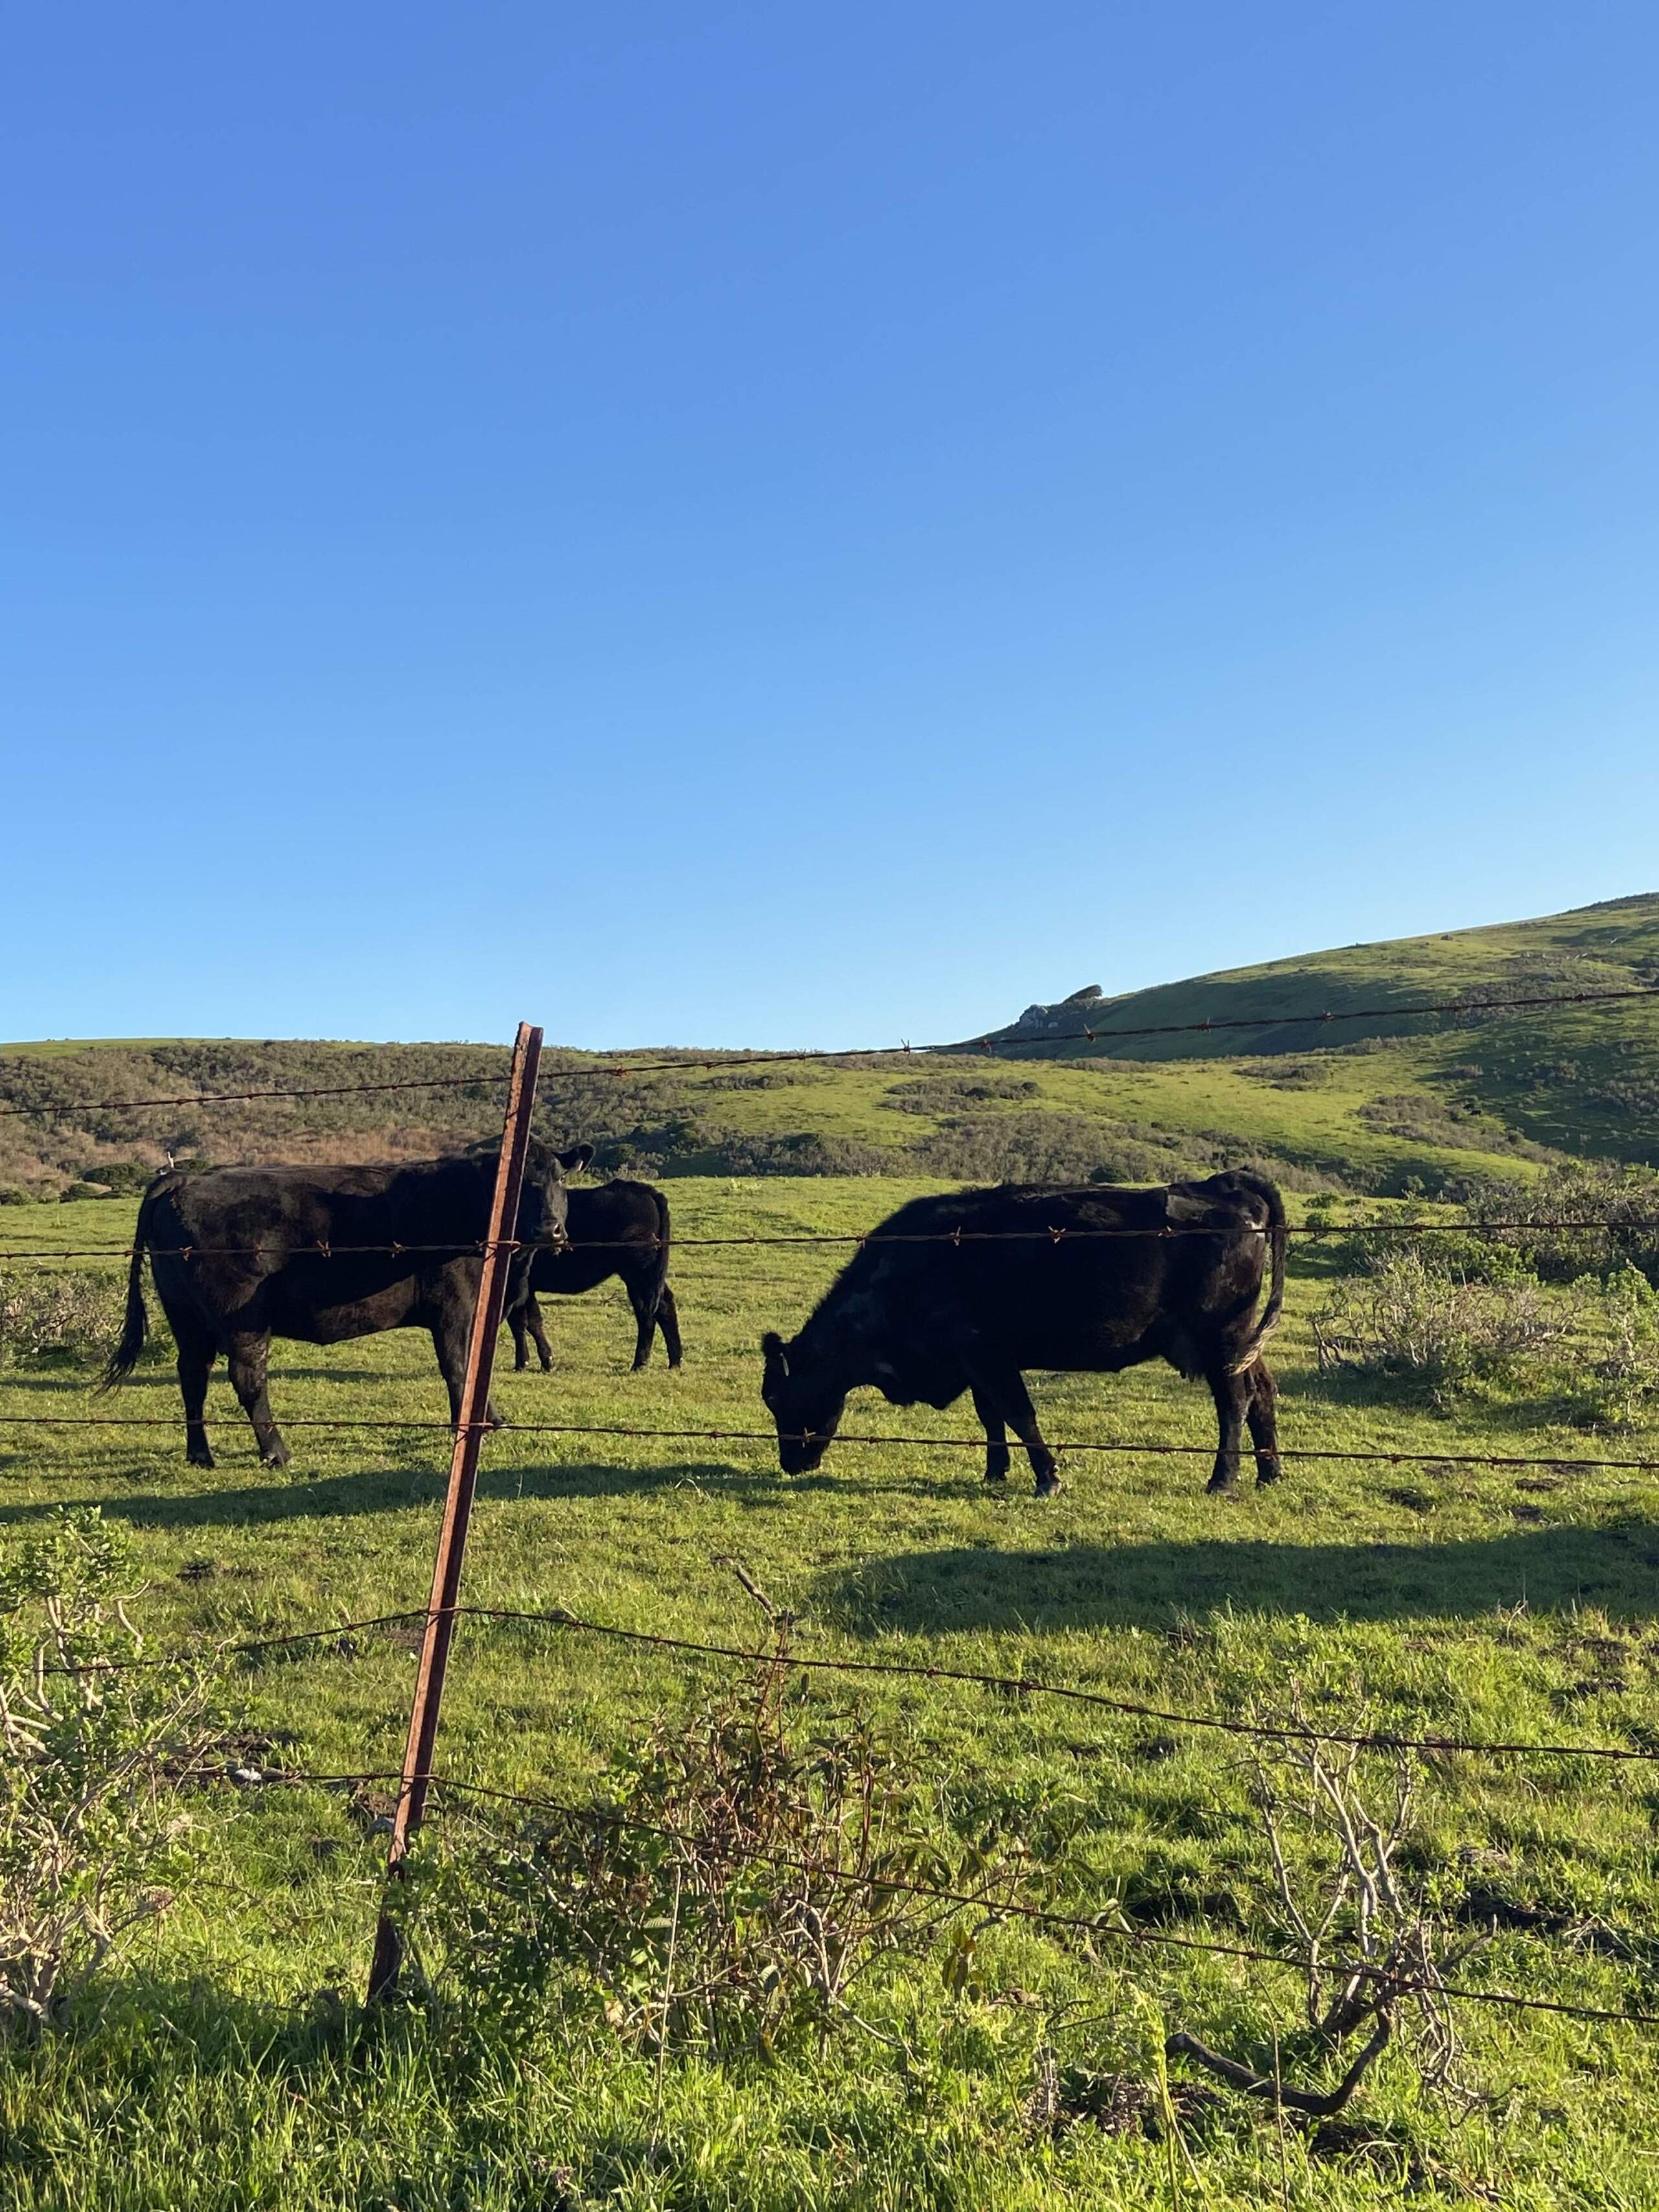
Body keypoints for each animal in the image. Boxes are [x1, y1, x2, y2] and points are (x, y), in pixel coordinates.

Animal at [99, 1142, 585, 1468]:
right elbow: (459, 1369)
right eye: (521, 1184)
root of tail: (187, 1177)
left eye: (561, 1179)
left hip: (186, 1317)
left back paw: (200, 1453)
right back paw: (276, 1452)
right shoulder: (455, 1308)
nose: (551, 1229)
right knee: (247, 1377)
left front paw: (491, 1418)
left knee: (193, 1375)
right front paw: (468, 1425)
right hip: (242, 1318)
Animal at [503, 1155, 683, 1374]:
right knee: (663, 1304)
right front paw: (530, 1362)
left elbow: (526, 1323)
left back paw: (640, 1363)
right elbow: (523, 1323)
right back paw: (675, 1361)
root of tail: (644, 1190)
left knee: (646, 1312)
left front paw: (538, 1362)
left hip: (639, 1271)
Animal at [760, 1169, 1287, 1497]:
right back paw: (1270, 1473)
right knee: (1263, 1390)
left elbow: (1019, 1415)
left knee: (1235, 1401)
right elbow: (991, 1417)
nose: (789, 1464)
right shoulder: (976, 1362)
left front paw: (1047, 1478)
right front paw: (995, 1473)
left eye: (778, 1399)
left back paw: (1223, 1480)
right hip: (1241, 1342)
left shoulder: (987, 1355)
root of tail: (1223, 1184)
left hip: (1219, 1338)